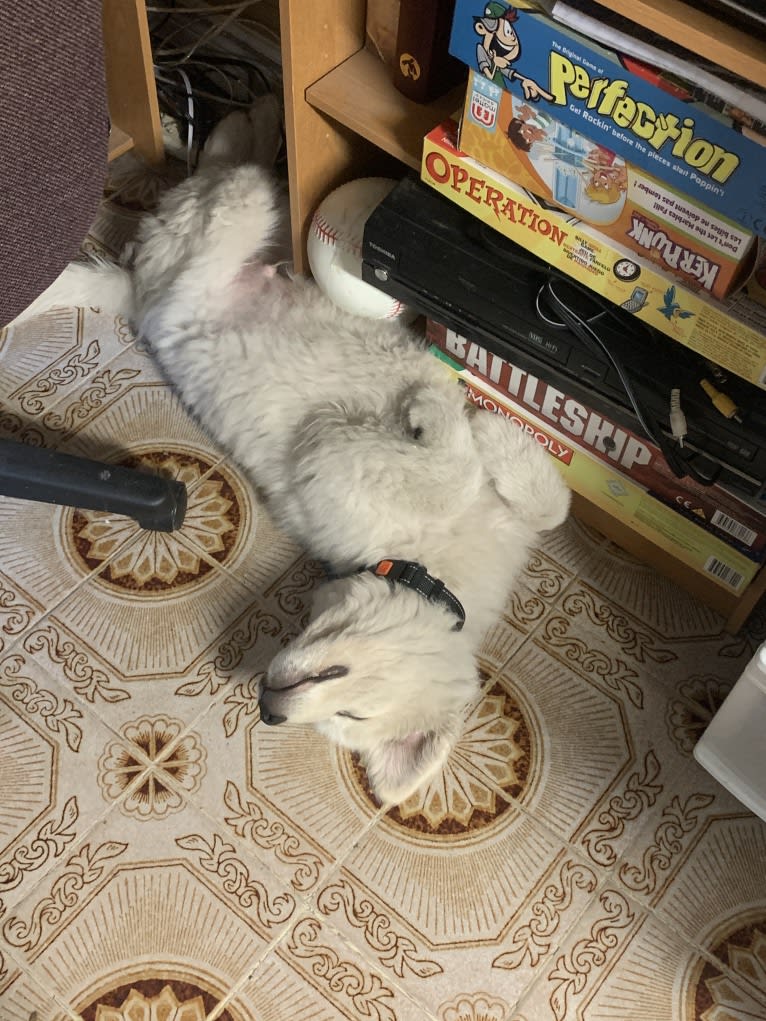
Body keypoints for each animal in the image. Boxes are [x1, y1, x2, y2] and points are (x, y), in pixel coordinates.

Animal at [24, 167, 571, 804]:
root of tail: (139, 298)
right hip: (231, 227)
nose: (269, 711)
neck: (433, 565)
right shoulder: (353, 457)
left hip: (198, 265)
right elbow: (517, 493)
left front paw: (481, 432)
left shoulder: (334, 454)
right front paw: (462, 417)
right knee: (210, 200)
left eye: (348, 719)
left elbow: (534, 503)